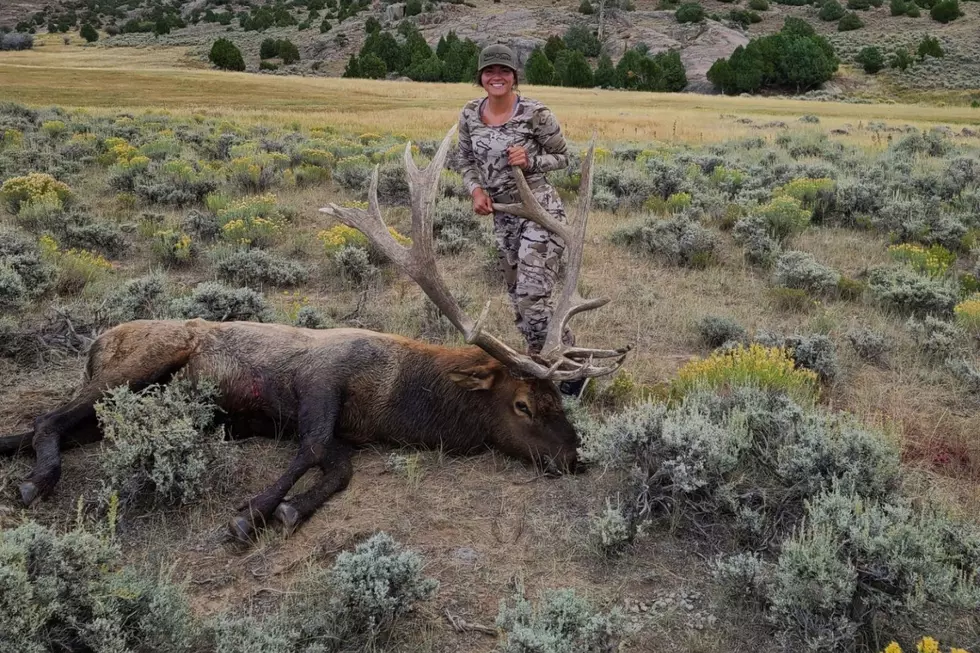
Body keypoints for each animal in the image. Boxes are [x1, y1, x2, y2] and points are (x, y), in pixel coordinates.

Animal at [0, 125, 628, 544]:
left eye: (558, 400)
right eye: (523, 405)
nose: (576, 455)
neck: (394, 404)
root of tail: (96, 342)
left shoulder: (347, 431)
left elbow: (337, 465)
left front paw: (287, 510)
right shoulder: (319, 379)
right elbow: (311, 446)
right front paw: (251, 511)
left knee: (47, 427)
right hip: (141, 361)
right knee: (47, 417)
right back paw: (35, 482)